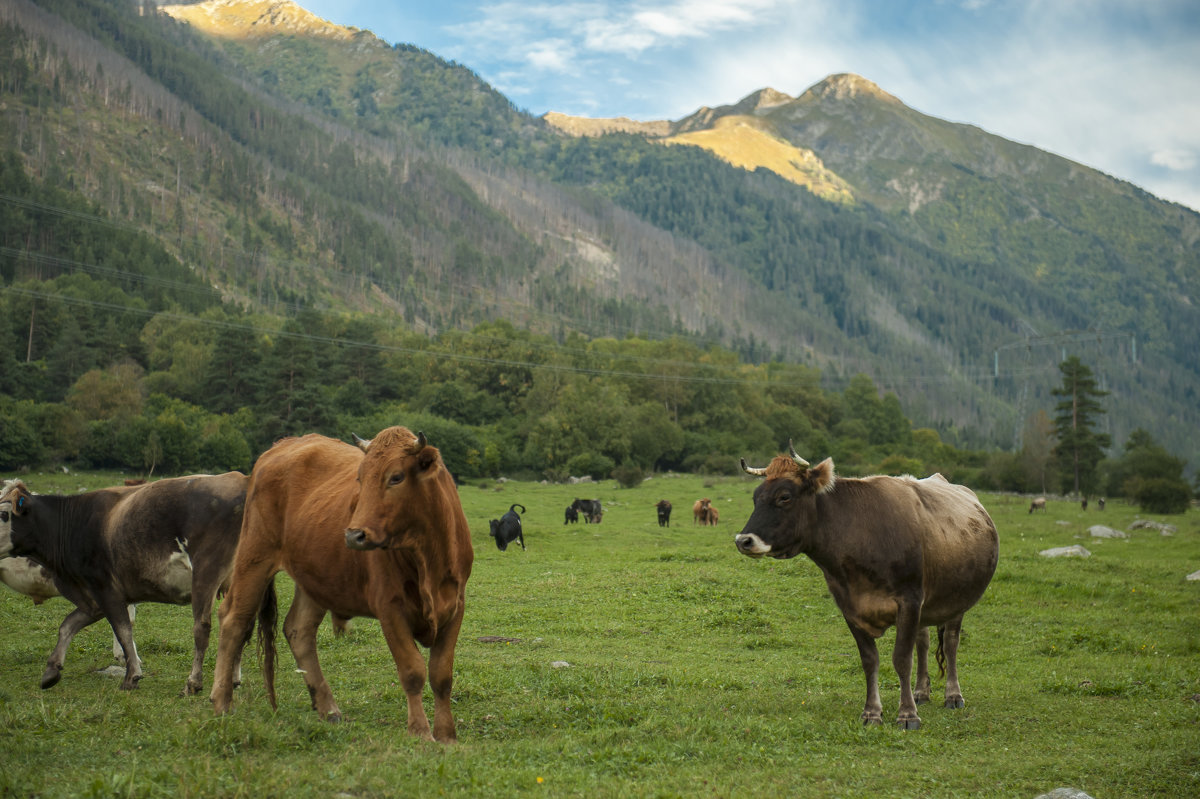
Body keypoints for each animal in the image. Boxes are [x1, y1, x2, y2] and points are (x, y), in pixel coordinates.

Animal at [0, 472, 248, 691]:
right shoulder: (93, 598)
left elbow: (123, 630)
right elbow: (68, 625)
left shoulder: (105, 588)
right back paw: (233, 680)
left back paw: (193, 683)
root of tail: (240, 480)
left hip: (205, 573)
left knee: (202, 627)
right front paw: (51, 671)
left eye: (3, 514)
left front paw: (132, 676)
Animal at [208, 427, 470, 743]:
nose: (354, 535)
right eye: (360, 478)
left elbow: (441, 675)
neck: (426, 556)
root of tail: (284, 445)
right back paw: (222, 702)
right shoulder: (390, 608)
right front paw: (420, 732)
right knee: (233, 620)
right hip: (254, 556)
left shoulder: (455, 605)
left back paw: (327, 707)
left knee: (298, 630)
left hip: (313, 577)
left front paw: (447, 735)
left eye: (396, 477)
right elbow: (413, 671)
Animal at [734, 441, 998, 729]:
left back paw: (953, 695)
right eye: (755, 498)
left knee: (950, 643)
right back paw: (921, 691)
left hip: (957, 601)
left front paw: (907, 714)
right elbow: (870, 660)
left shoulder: (909, 600)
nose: (743, 540)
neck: (862, 535)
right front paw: (872, 712)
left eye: (784, 497)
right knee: (924, 641)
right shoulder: (850, 606)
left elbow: (901, 659)